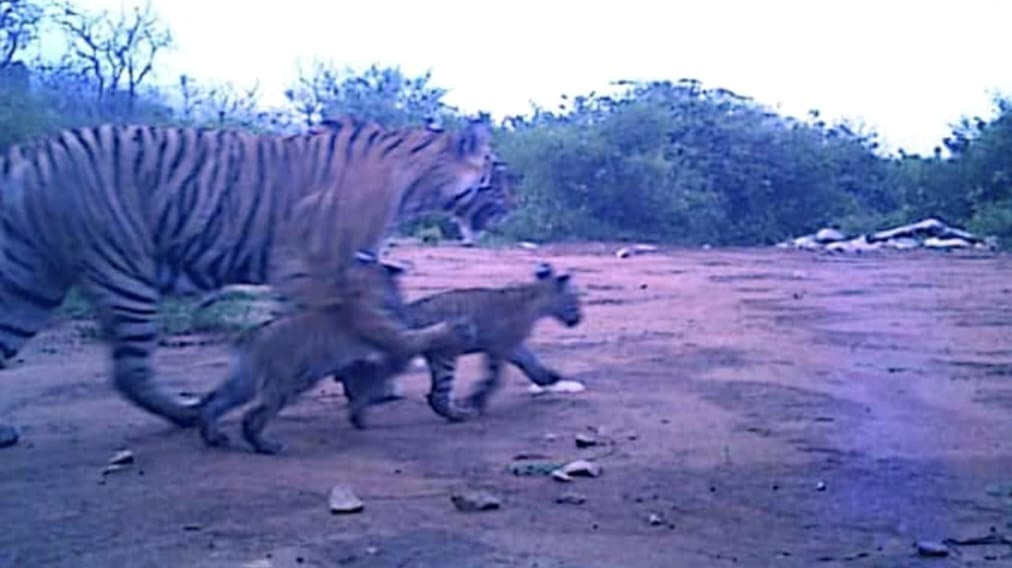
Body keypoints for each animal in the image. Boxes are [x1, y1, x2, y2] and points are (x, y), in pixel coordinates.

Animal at [0, 116, 505, 429]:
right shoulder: (319, 261)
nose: (511, 202)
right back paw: (190, 412)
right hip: (121, 267)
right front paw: (376, 377)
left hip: (29, 281)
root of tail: (30, 151)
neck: (416, 178)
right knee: (131, 372)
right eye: (497, 174)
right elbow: (363, 324)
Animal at [196, 254, 474, 455]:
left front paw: (359, 416)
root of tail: (251, 335)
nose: (400, 302)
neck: (358, 291)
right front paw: (455, 327)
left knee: (213, 402)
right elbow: (422, 334)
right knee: (251, 416)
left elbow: (366, 388)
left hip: (244, 381)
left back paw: (214, 437)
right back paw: (267, 446)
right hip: (287, 384)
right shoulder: (393, 339)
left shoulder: (371, 359)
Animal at [339, 262, 583, 428]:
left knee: (379, 377)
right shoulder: (501, 346)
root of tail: (408, 313)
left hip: (408, 354)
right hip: (445, 356)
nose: (580, 318)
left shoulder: (511, 345)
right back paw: (461, 415)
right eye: (575, 300)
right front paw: (476, 401)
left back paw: (357, 415)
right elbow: (495, 378)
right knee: (436, 396)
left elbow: (529, 361)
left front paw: (547, 377)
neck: (536, 299)